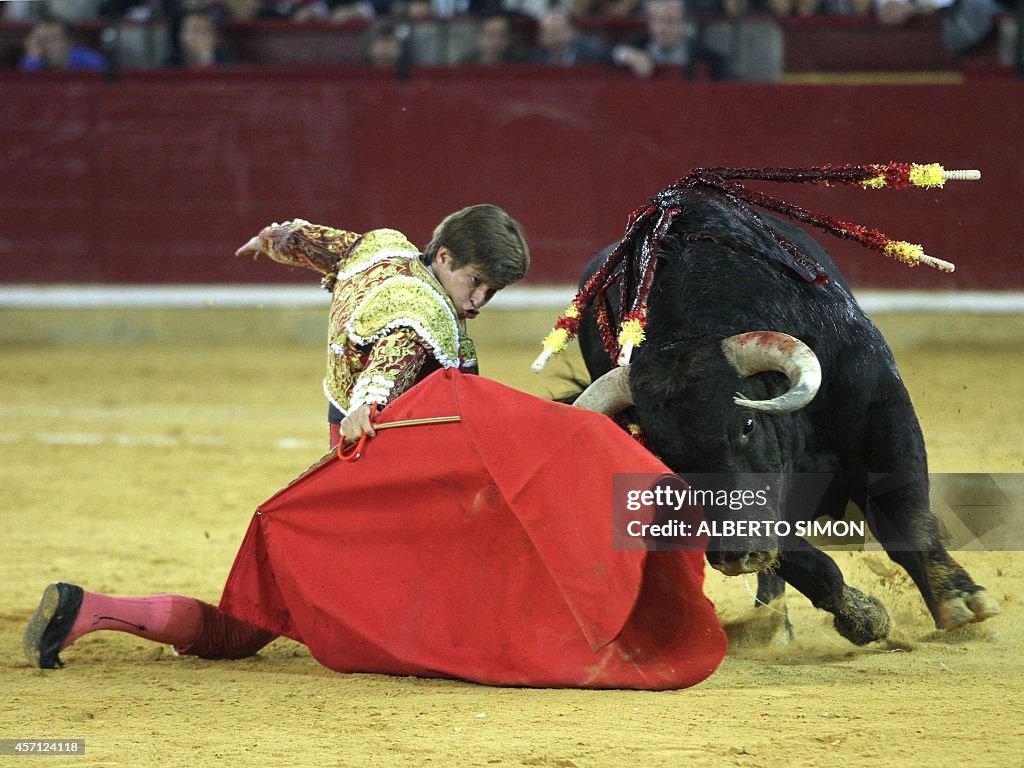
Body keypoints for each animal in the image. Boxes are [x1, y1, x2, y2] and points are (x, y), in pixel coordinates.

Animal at [561, 171, 999, 647]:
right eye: (666, 456)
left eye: (748, 424)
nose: (734, 554)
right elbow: (802, 560)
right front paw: (863, 618)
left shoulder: (884, 418)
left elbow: (906, 518)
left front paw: (959, 600)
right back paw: (769, 626)